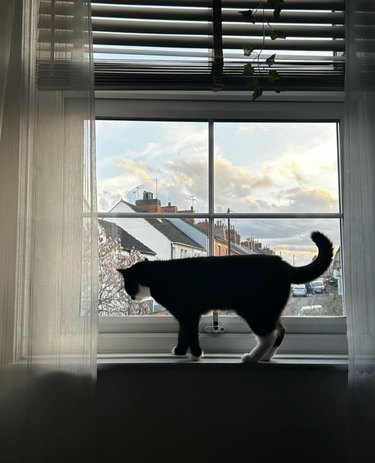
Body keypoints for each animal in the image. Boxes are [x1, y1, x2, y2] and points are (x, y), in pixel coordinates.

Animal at [117, 231, 332, 362]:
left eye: (127, 286)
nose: (131, 297)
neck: (157, 276)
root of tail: (281, 263)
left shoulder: (188, 314)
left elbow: (190, 334)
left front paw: (196, 355)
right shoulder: (182, 314)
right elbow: (182, 333)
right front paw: (179, 351)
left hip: (256, 311)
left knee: (268, 335)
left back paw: (252, 358)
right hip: (270, 310)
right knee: (280, 331)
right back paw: (265, 357)